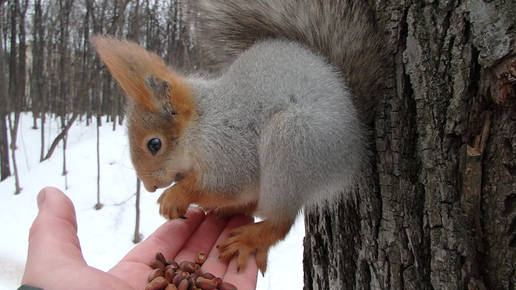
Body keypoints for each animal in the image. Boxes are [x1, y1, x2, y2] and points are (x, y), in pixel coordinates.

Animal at [93, 0, 382, 274]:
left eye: (154, 144)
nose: (150, 187)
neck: (201, 123)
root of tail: (357, 143)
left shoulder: (231, 144)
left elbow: (226, 183)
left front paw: (175, 197)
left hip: (293, 141)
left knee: (281, 220)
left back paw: (251, 238)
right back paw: (228, 210)